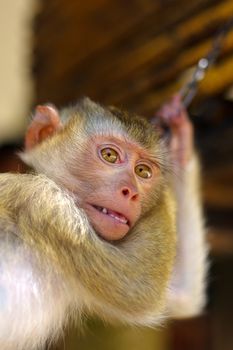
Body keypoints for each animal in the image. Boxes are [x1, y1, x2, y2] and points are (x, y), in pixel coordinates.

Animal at [0, 95, 208, 350]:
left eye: (143, 171)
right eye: (110, 155)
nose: (132, 193)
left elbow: (179, 294)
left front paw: (180, 143)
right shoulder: (46, 202)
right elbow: (141, 283)